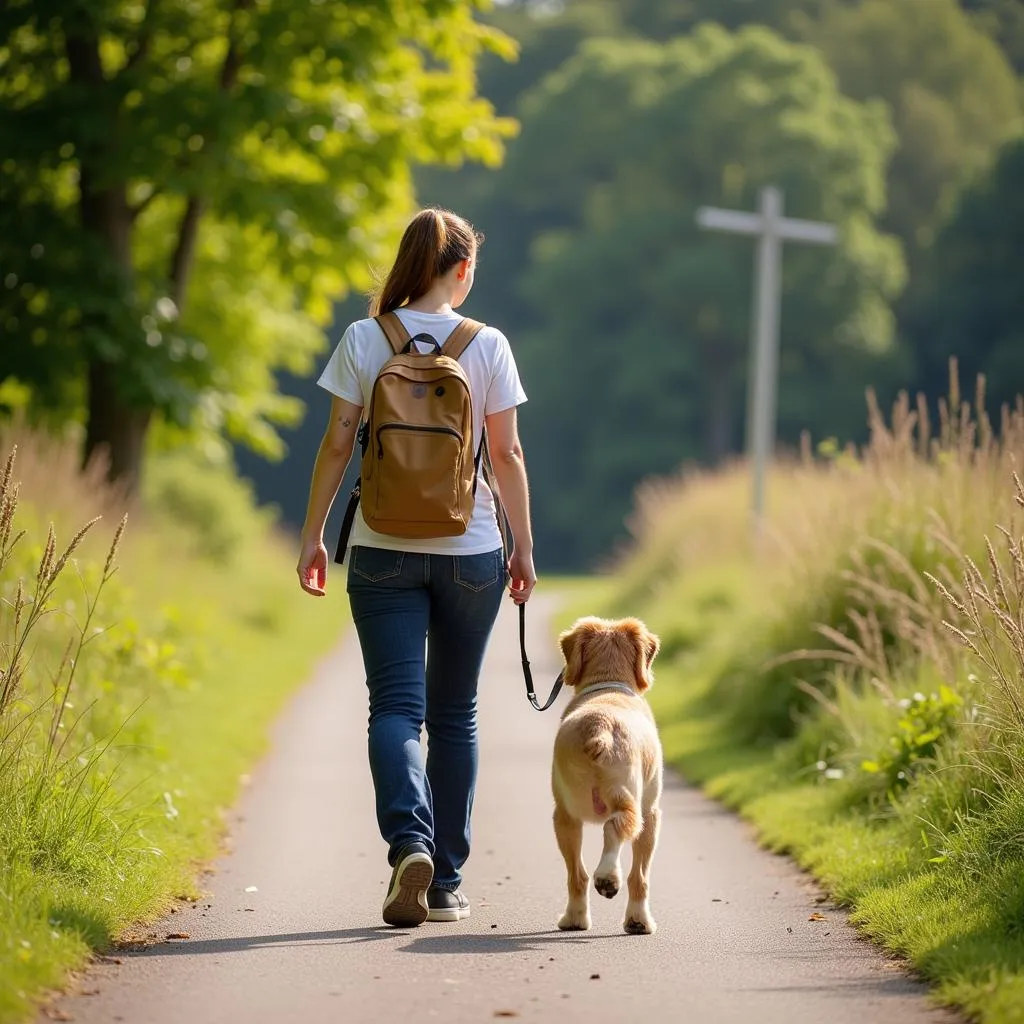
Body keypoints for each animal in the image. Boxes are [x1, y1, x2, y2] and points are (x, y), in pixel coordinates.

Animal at [552, 614, 663, 937]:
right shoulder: (652, 813)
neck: (608, 687)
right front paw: (639, 920)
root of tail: (599, 727)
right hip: (621, 801)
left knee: (578, 873)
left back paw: (579, 912)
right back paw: (607, 882)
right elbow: (640, 876)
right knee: (616, 828)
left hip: (566, 812)